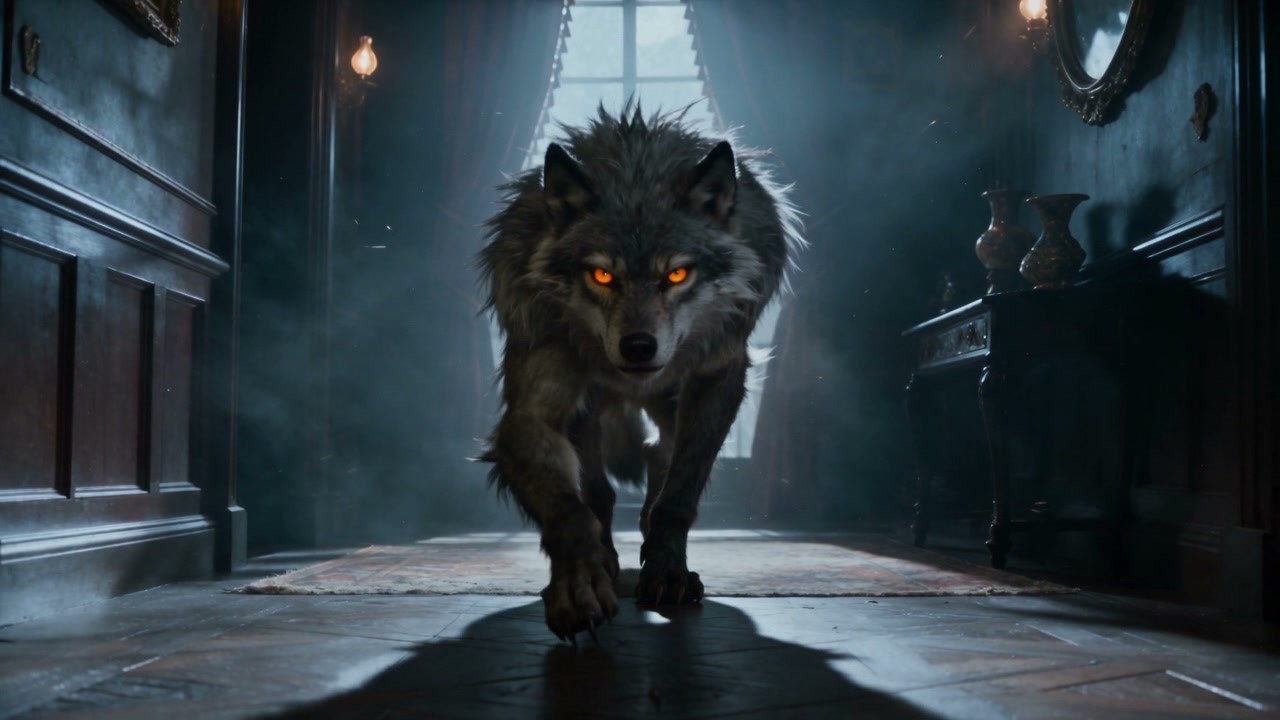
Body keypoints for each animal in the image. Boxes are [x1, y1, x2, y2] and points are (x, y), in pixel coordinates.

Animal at [477, 104, 804, 642]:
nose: (637, 347)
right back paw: (610, 560)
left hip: (672, 405)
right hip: (588, 410)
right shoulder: (533, 405)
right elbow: (572, 509)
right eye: (602, 275)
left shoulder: (718, 376)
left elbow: (679, 492)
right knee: (601, 490)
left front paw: (668, 570)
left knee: (658, 457)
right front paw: (580, 581)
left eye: (676, 274)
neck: (636, 176)